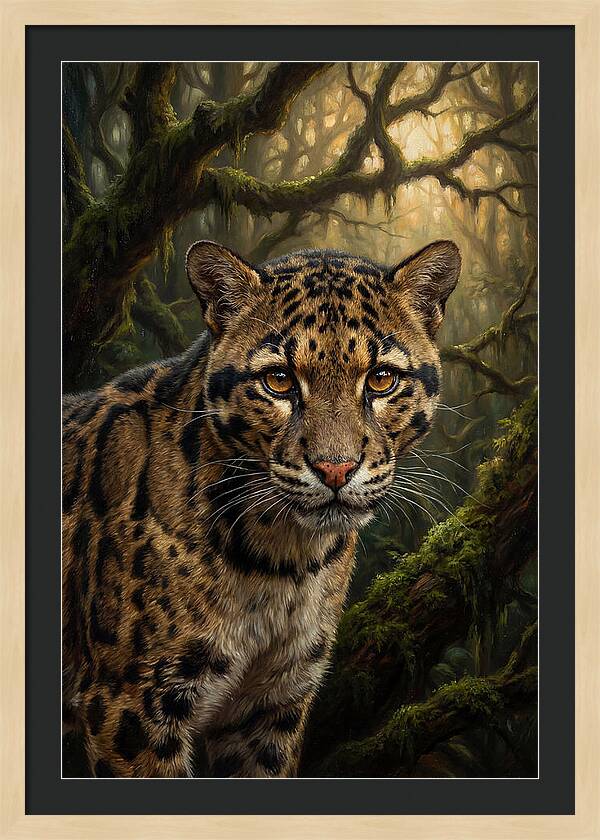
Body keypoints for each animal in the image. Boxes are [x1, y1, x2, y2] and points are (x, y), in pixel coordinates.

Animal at [62, 237, 460, 778]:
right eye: (279, 380)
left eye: (380, 380)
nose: (335, 469)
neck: (282, 560)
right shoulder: (130, 703)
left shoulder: (272, 703)